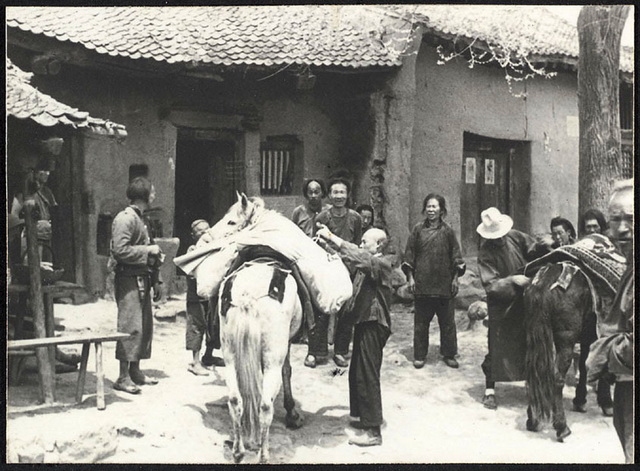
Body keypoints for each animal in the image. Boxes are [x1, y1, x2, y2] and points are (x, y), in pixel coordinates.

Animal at [209, 193, 304, 464]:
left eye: (231, 221)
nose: (208, 237)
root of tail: (249, 294)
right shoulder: (284, 346)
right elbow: (287, 372)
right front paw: (292, 413)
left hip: (229, 354)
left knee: (235, 399)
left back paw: (238, 450)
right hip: (272, 355)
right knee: (264, 405)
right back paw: (263, 454)